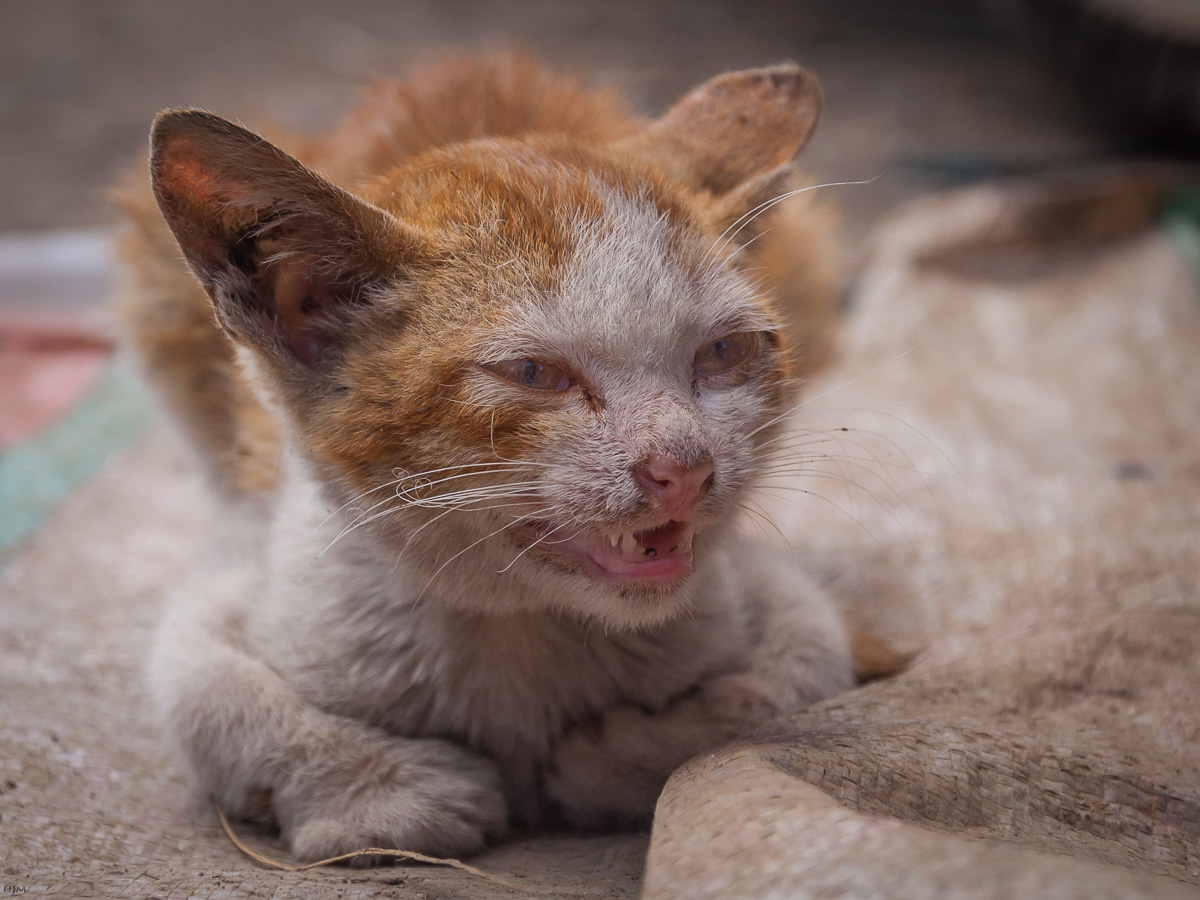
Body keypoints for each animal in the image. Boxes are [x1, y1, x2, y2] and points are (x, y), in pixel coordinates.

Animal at [114, 52, 854, 864]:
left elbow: (805, 667)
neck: (517, 629)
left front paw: (611, 760)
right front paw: (392, 796)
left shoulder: (757, 583)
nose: (684, 465)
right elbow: (200, 687)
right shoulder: (251, 550)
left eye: (724, 351)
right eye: (535, 374)